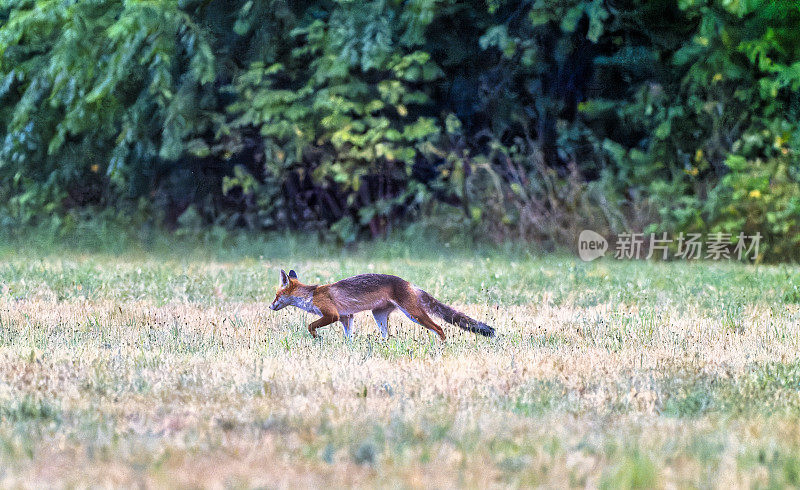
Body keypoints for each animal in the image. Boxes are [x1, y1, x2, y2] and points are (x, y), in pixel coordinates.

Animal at [268, 268, 494, 340]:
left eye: (276, 295)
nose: (269, 306)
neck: (311, 294)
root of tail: (409, 283)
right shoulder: (346, 317)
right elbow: (349, 338)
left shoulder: (331, 314)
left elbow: (310, 326)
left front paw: (317, 338)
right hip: (379, 316)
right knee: (387, 337)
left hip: (414, 314)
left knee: (439, 328)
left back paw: (440, 347)